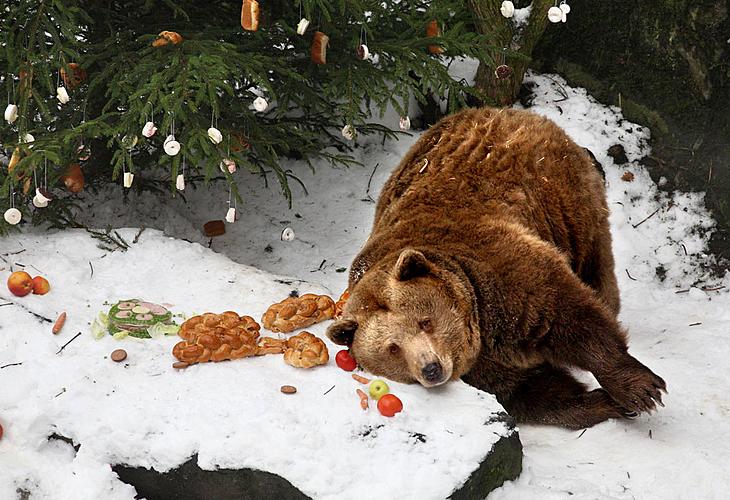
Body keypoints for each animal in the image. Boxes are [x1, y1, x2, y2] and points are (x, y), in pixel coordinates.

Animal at [328, 106, 664, 430]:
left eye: (425, 322)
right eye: (393, 348)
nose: (431, 368)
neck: (480, 329)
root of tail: (499, 110)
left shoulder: (502, 273)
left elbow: (571, 317)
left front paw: (641, 390)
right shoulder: (483, 366)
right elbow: (528, 389)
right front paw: (599, 402)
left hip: (564, 199)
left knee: (596, 263)